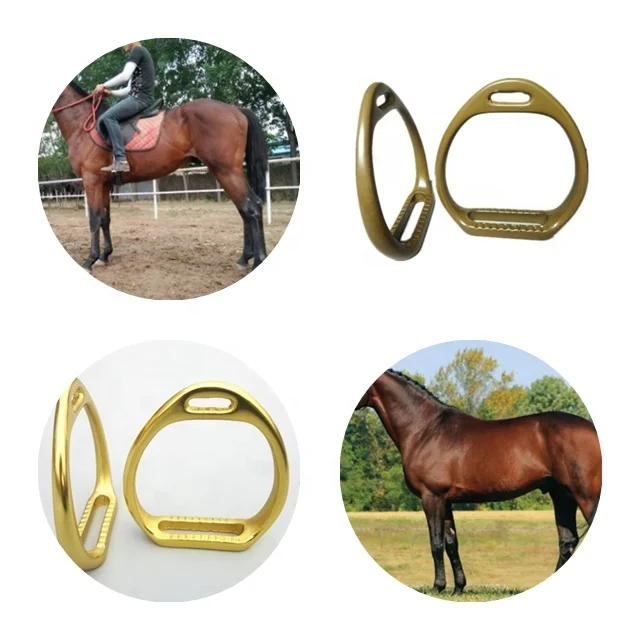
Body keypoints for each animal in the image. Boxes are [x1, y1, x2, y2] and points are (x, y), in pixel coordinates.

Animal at [50, 82, 269, 271]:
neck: (83, 124)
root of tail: (235, 109)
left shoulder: (92, 180)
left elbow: (95, 218)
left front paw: (90, 260)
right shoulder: (104, 184)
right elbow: (105, 218)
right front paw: (105, 255)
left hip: (227, 171)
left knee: (252, 207)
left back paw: (258, 260)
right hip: (228, 173)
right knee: (245, 210)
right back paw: (244, 258)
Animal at [355, 369, 601, 595]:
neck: (425, 429)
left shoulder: (431, 497)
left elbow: (436, 543)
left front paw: (438, 587)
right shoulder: (445, 501)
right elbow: (451, 544)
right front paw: (458, 588)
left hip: (586, 496)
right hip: (562, 495)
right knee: (567, 542)